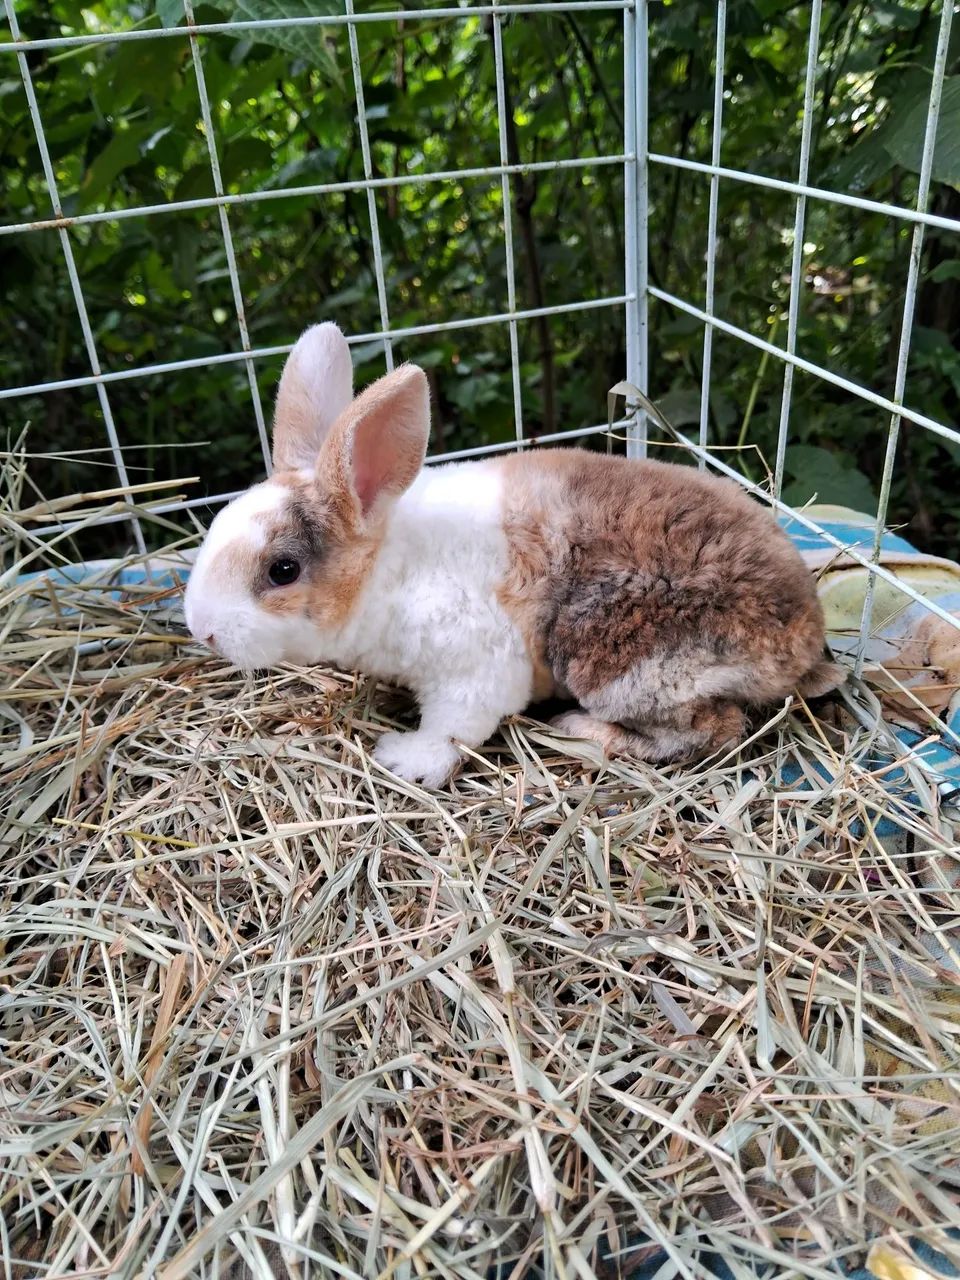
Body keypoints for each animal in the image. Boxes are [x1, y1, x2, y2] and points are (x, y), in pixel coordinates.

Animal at [184, 321, 843, 788]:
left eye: (282, 570)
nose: (201, 630)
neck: (386, 569)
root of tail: (805, 634)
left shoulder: (474, 669)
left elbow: (452, 728)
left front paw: (405, 760)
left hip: (610, 655)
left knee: (712, 732)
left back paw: (577, 731)